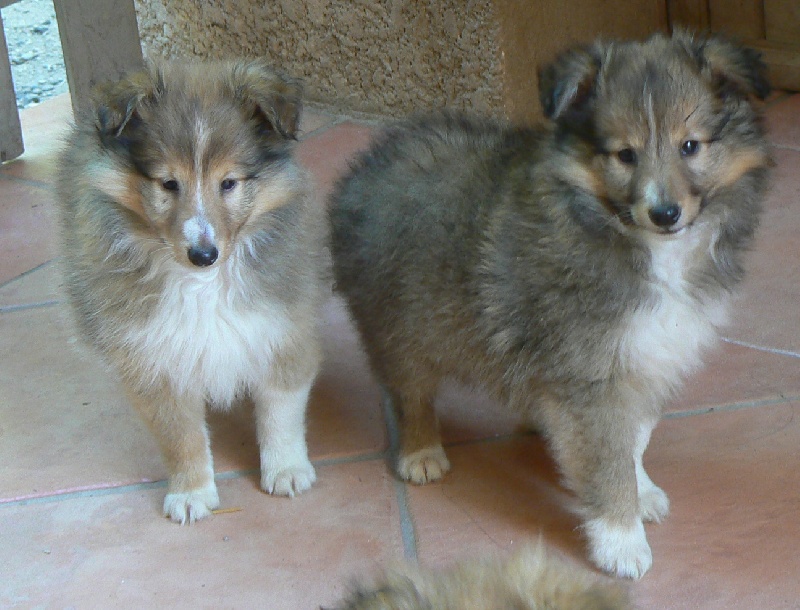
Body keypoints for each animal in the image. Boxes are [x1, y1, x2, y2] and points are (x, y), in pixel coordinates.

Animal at [57, 58, 328, 524]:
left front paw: (287, 471)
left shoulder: (280, 327)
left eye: (229, 183)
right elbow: (180, 436)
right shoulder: (155, 357)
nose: (204, 254)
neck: (202, 286)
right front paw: (191, 494)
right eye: (168, 184)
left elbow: (281, 410)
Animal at [328, 32, 772, 576]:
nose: (665, 213)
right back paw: (420, 452)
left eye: (690, 146)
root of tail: (371, 159)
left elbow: (634, 438)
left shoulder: (646, 356)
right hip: (398, 324)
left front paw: (641, 493)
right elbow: (608, 459)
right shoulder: (591, 373)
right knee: (409, 393)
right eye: (624, 154)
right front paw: (622, 541)